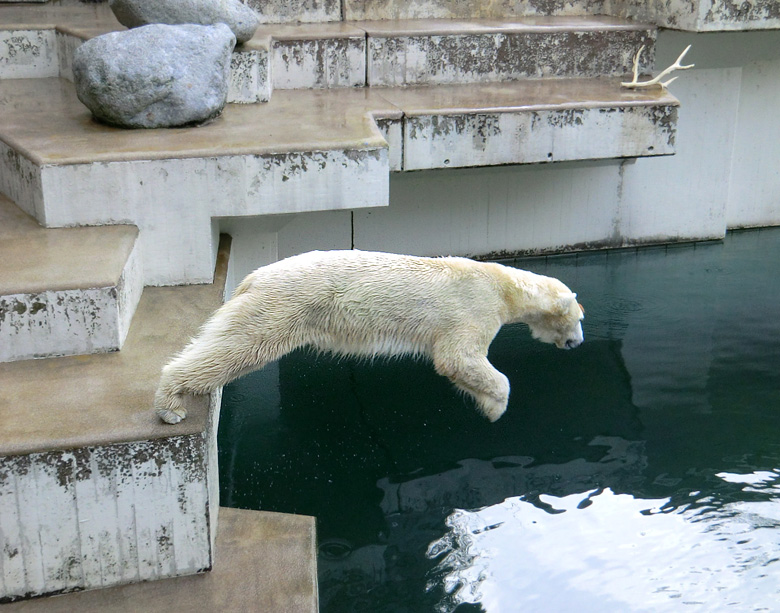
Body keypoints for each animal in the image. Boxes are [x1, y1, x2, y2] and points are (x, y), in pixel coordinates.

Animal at [155, 249, 584, 426]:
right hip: (281, 306)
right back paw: (170, 404)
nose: (577, 343)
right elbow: (458, 358)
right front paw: (495, 407)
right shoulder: (473, 308)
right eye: (579, 317)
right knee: (239, 346)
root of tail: (253, 277)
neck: (505, 285)